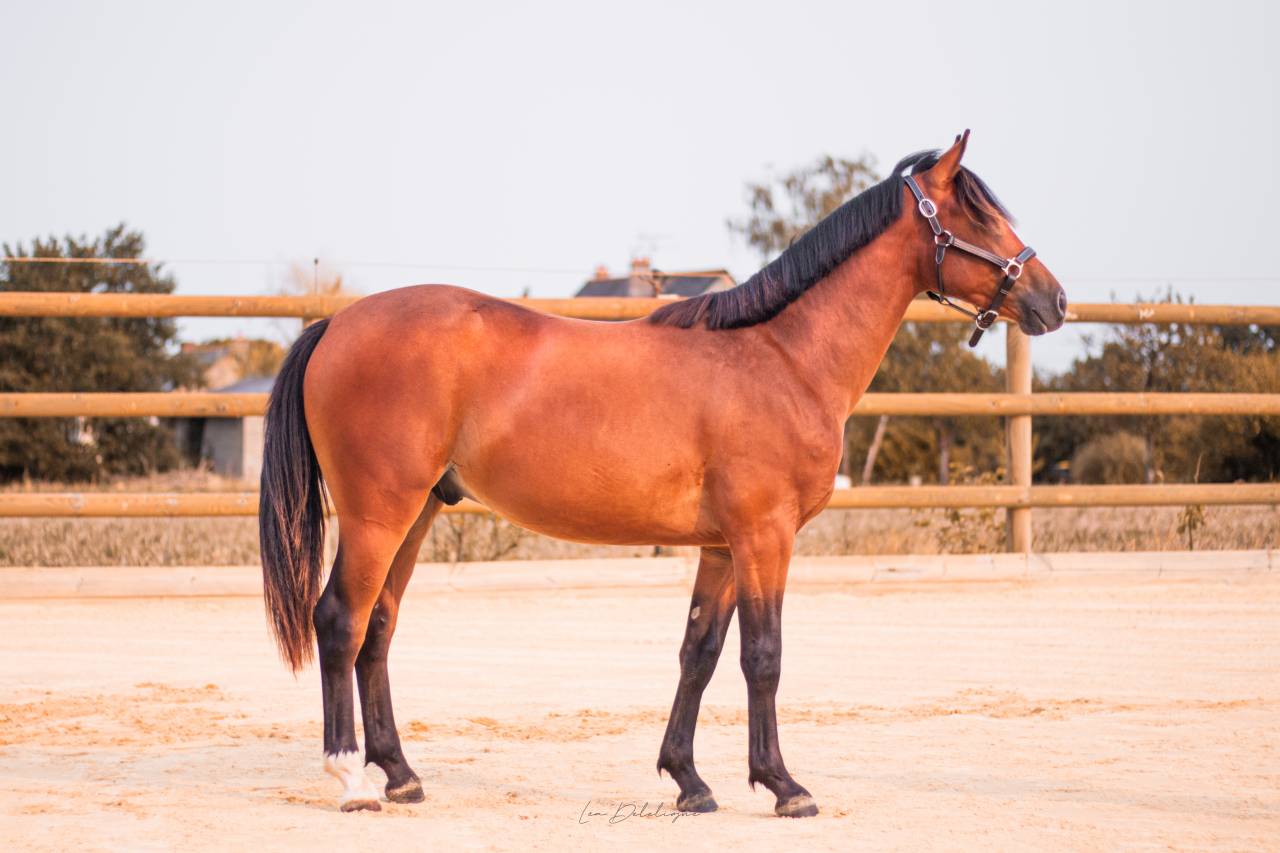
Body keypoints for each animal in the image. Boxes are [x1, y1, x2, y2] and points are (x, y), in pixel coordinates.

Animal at [258, 131, 1068, 817]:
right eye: (978, 215)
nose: (1054, 299)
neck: (782, 358)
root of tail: (336, 323)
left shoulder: (721, 546)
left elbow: (699, 654)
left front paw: (689, 780)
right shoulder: (765, 536)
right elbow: (763, 656)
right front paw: (784, 786)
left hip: (418, 510)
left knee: (379, 626)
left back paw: (400, 773)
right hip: (378, 513)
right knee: (340, 619)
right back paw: (352, 779)